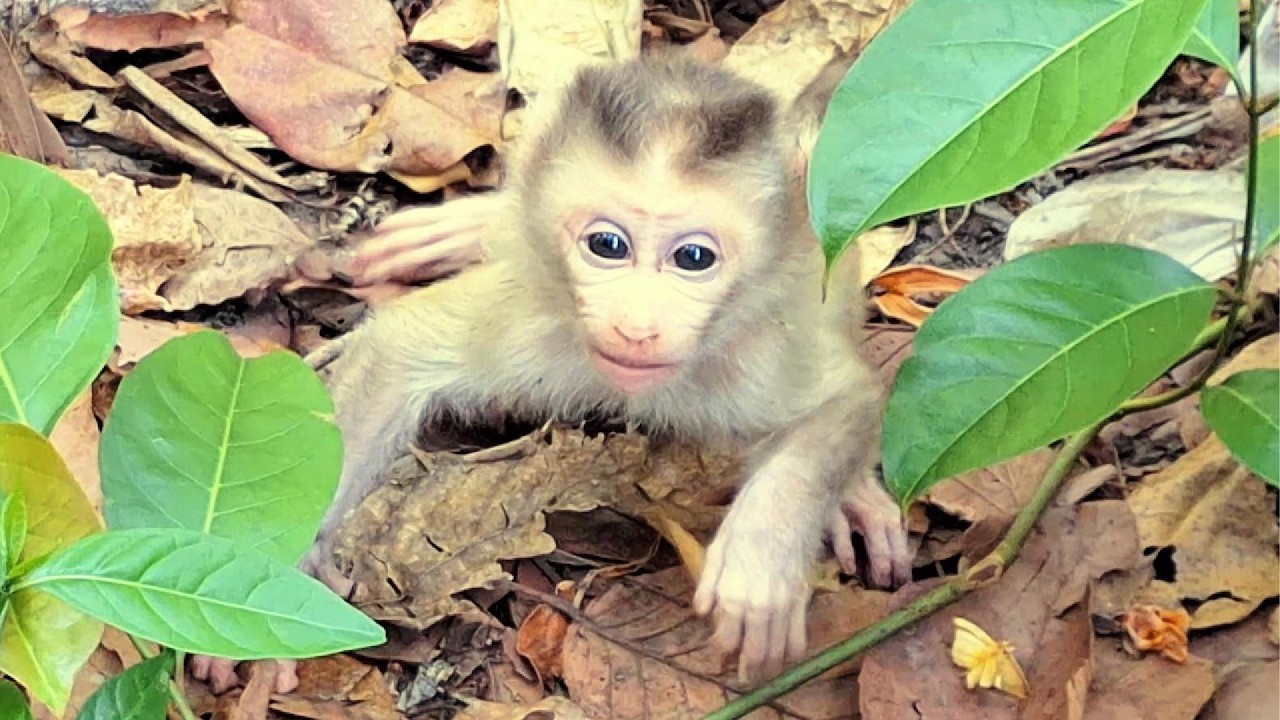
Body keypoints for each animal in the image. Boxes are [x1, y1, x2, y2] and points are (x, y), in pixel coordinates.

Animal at [193, 54, 912, 694]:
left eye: (694, 258)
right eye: (607, 246)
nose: (637, 327)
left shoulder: (757, 350)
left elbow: (849, 399)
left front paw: (761, 561)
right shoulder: (537, 318)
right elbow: (400, 350)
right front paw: (268, 573)